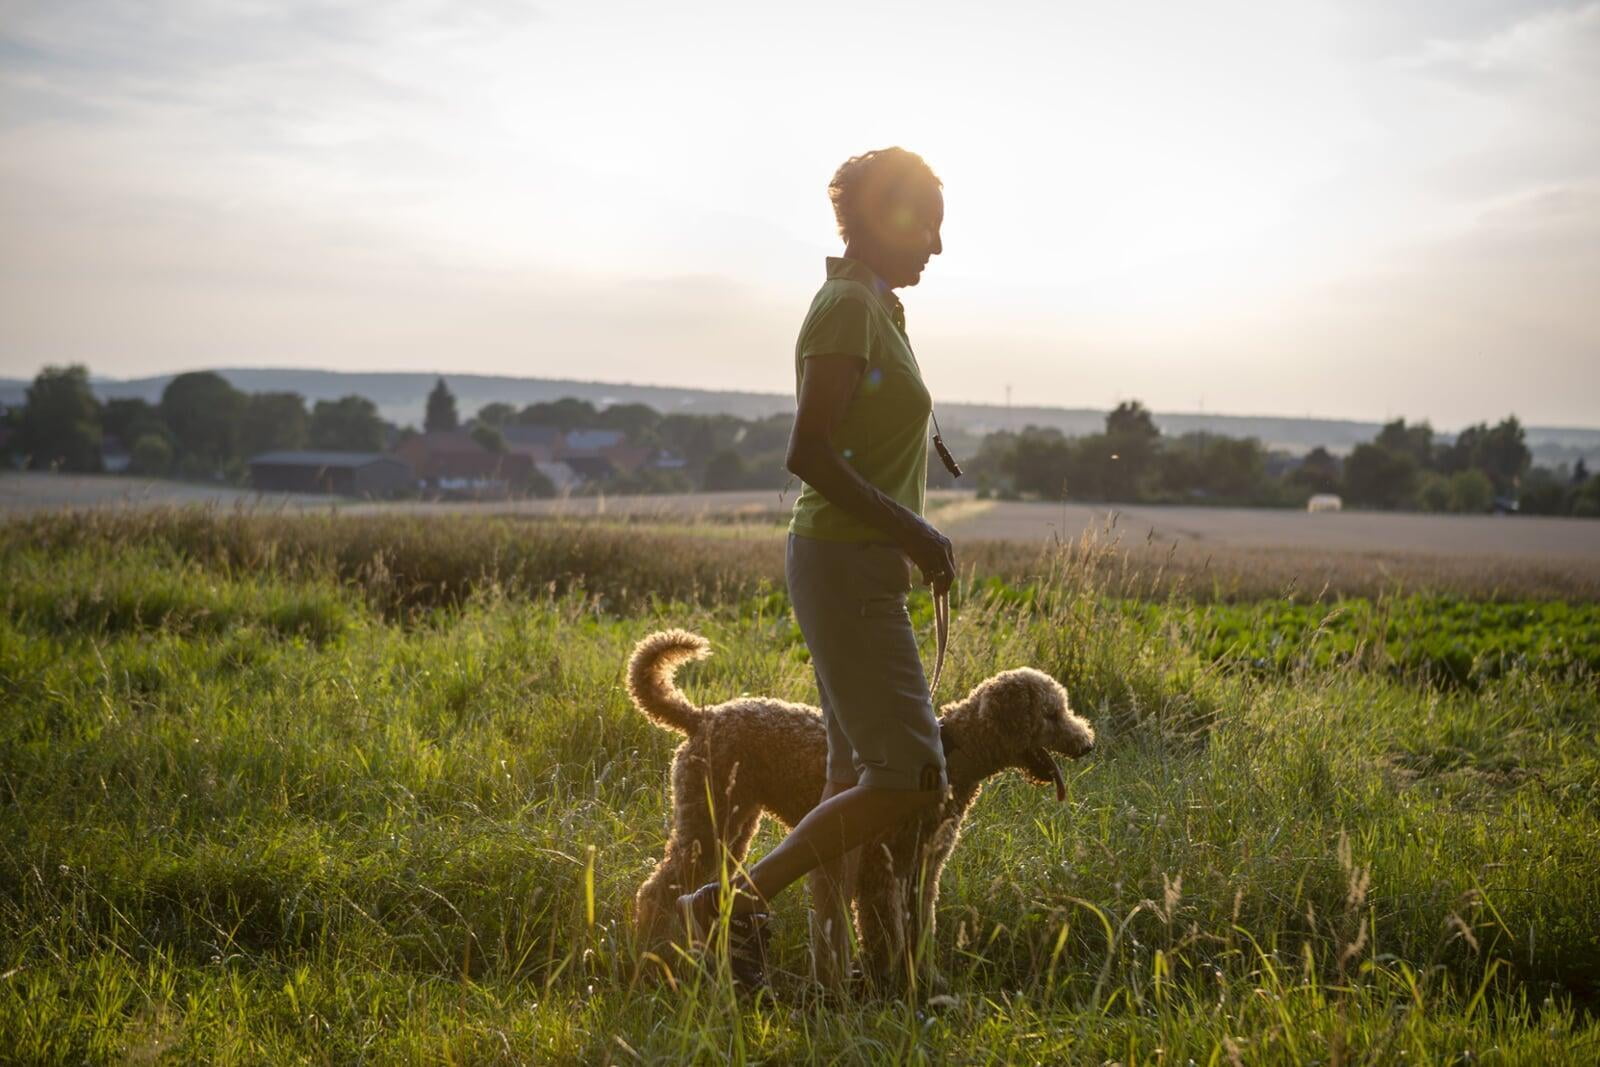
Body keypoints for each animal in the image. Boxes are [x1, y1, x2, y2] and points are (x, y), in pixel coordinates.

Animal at [624, 627, 1100, 991]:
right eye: (1052, 714)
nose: (1087, 743)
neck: (950, 753)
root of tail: (702, 717)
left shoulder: (923, 870)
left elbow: (919, 930)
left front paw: (927, 982)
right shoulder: (879, 872)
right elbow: (885, 934)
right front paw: (889, 984)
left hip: (732, 823)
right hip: (707, 822)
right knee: (656, 890)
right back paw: (648, 952)